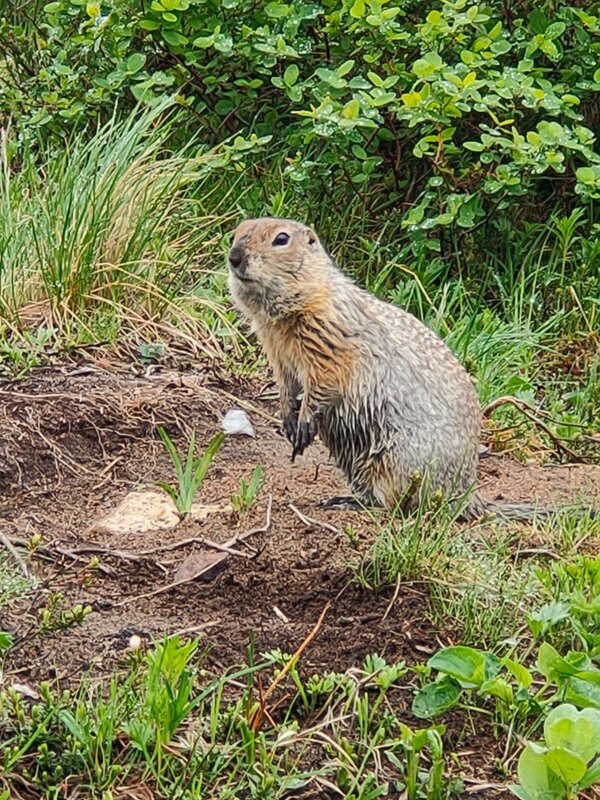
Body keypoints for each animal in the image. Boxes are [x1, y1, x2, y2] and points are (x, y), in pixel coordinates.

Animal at [230, 217, 584, 520]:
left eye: (281, 239)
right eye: (237, 231)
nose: (234, 256)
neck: (283, 317)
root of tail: (467, 496)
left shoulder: (330, 338)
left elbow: (325, 379)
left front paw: (303, 424)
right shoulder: (278, 352)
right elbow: (286, 382)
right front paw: (287, 418)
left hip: (397, 462)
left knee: (400, 504)